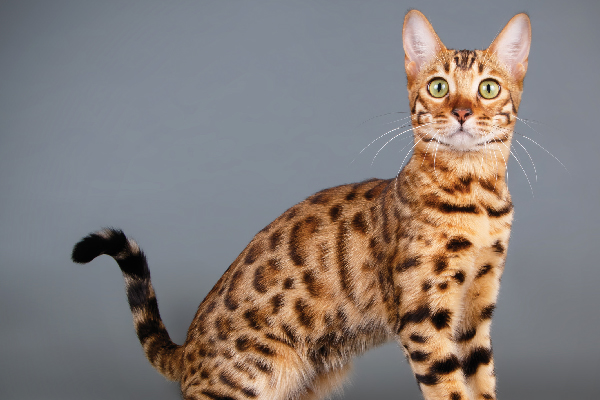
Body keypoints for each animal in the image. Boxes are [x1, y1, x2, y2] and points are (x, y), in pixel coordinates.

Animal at [72, 9, 532, 400]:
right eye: (439, 86)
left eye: (488, 88)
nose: (461, 112)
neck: (477, 198)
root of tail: (186, 353)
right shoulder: (424, 317)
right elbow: (450, 388)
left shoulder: (476, 311)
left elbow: (482, 382)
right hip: (259, 373)